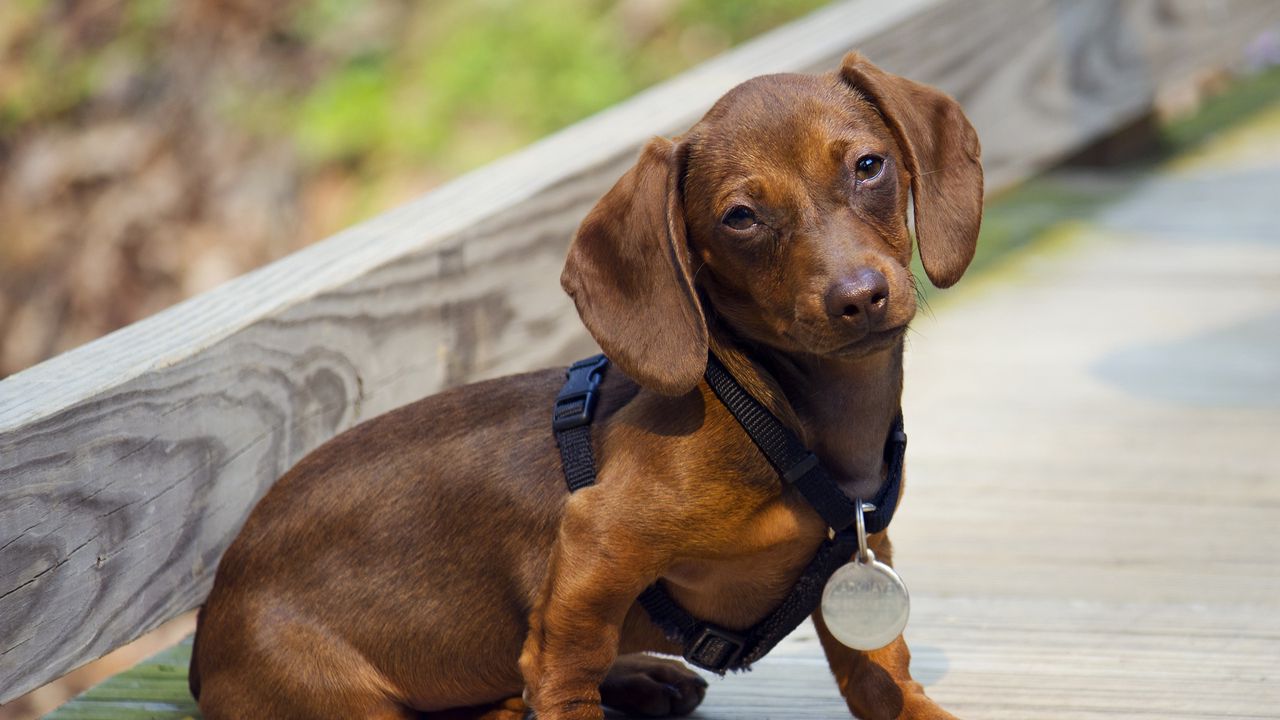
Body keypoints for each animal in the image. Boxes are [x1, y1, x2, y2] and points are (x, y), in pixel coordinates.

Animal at [192, 51, 977, 717]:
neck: (787, 413)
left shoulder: (863, 573)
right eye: (741, 218)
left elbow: (882, 677)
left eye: (869, 166)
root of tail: (207, 633)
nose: (859, 297)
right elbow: (566, 668)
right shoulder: (598, 544)